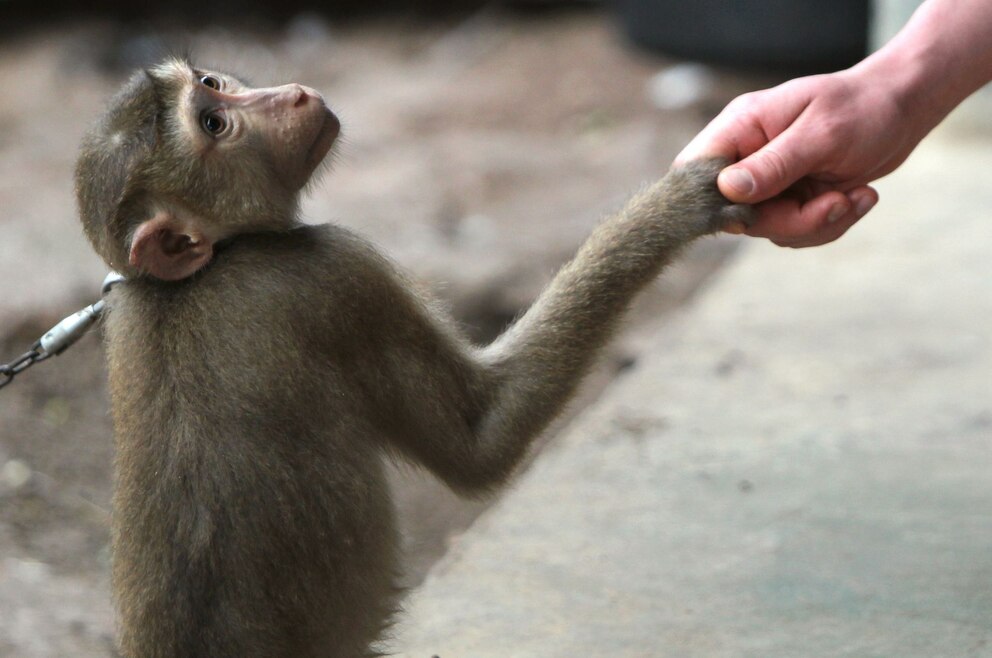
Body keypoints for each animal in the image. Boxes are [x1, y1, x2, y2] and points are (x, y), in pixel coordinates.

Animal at [75, 57, 752, 656]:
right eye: (214, 125)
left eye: (212, 85)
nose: (291, 94)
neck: (198, 273)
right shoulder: (334, 272)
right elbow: (481, 438)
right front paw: (675, 206)